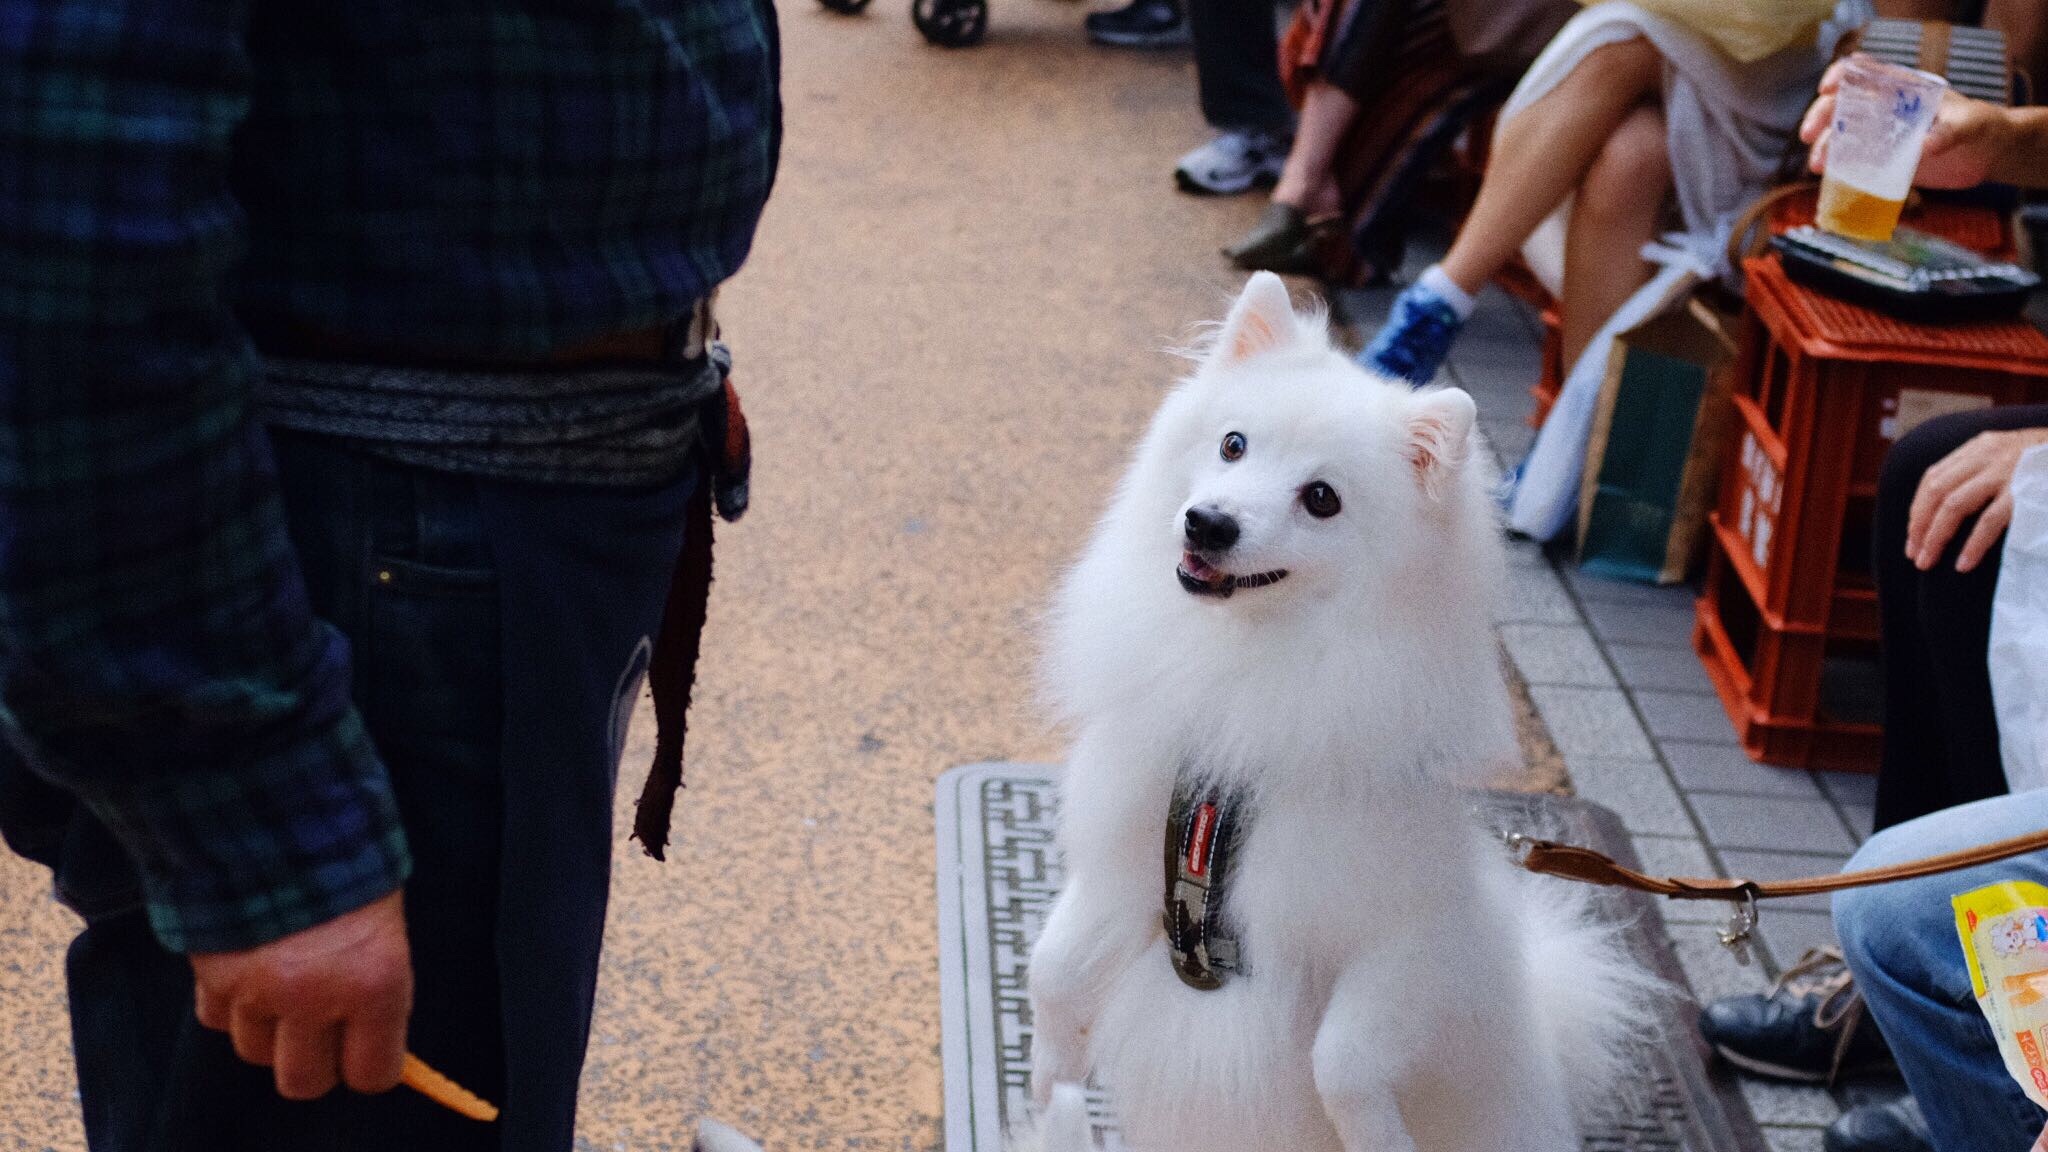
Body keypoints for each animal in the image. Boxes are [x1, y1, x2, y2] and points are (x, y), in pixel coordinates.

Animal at [1024, 270, 1662, 1147]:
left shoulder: (1410, 944)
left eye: (1321, 499)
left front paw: (1378, 1137)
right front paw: (1047, 1076)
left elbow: (1343, 1062)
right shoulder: (1121, 866)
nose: (1208, 522)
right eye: (1233, 445)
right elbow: (1050, 968)